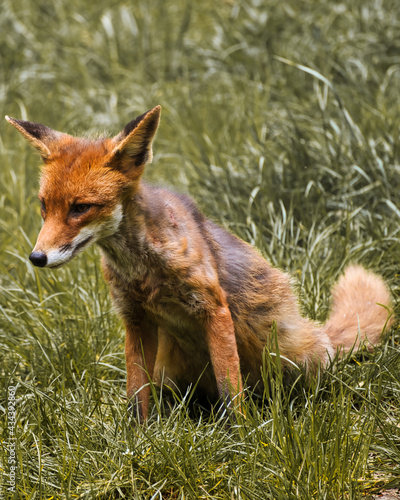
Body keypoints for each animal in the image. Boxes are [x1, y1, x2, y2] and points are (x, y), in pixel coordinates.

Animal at [5, 106, 394, 422]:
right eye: (44, 205)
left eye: (80, 208)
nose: (36, 258)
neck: (142, 271)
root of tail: (319, 333)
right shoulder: (136, 319)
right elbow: (135, 395)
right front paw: (136, 439)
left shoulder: (214, 309)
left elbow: (230, 392)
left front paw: (241, 439)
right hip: (170, 368)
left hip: (292, 352)